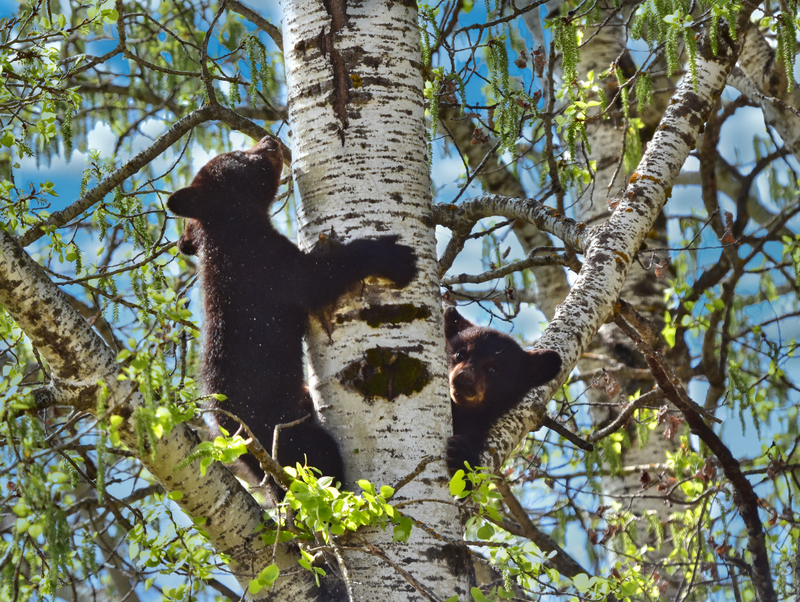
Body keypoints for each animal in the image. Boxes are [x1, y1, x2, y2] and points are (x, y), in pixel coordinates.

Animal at [167, 135, 418, 494]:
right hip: (289, 438)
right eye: (239, 155)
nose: (270, 140)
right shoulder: (266, 266)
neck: (231, 232)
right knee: (319, 463)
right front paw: (393, 256)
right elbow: (317, 279)